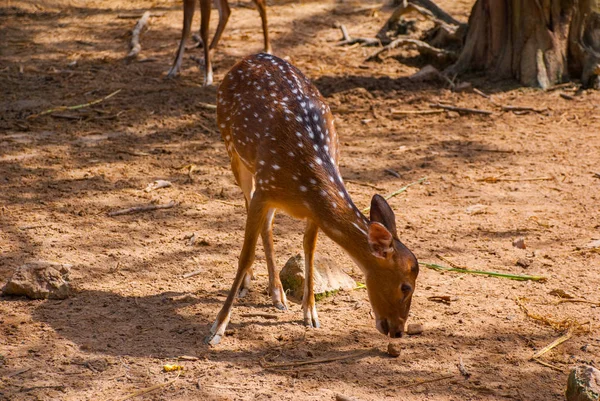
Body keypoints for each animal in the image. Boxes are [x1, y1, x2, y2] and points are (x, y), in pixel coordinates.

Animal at [206, 53, 418, 346]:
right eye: (405, 286)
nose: (398, 331)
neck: (305, 181)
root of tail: (247, 58)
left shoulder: (313, 209)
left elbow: (309, 248)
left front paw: (310, 313)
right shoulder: (264, 190)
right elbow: (245, 255)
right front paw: (217, 327)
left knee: (267, 225)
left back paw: (278, 295)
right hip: (234, 151)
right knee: (255, 215)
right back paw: (253, 286)